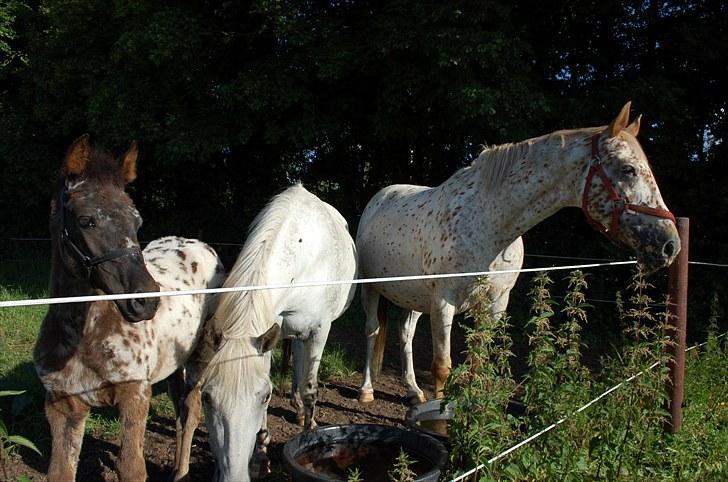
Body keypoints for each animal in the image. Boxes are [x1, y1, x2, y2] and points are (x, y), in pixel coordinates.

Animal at [33, 135, 225, 482]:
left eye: (137, 221)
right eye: (86, 220)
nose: (146, 301)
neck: (84, 339)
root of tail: (201, 245)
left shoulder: (135, 393)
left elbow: (131, 467)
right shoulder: (62, 405)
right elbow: (60, 471)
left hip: (202, 356)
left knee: (191, 411)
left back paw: (182, 473)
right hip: (173, 365)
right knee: (180, 412)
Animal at [356, 101, 680, 402]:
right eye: (628, 169)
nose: (670, 245)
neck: (490, 225)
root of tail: (380, 198)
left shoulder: (494, 304)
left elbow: (477, 364)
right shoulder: (443, 302)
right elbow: (441, 367)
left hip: (413, 296)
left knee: (405, 334)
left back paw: (413, 390)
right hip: (373, 291)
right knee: (372, 331)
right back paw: (367, 390)